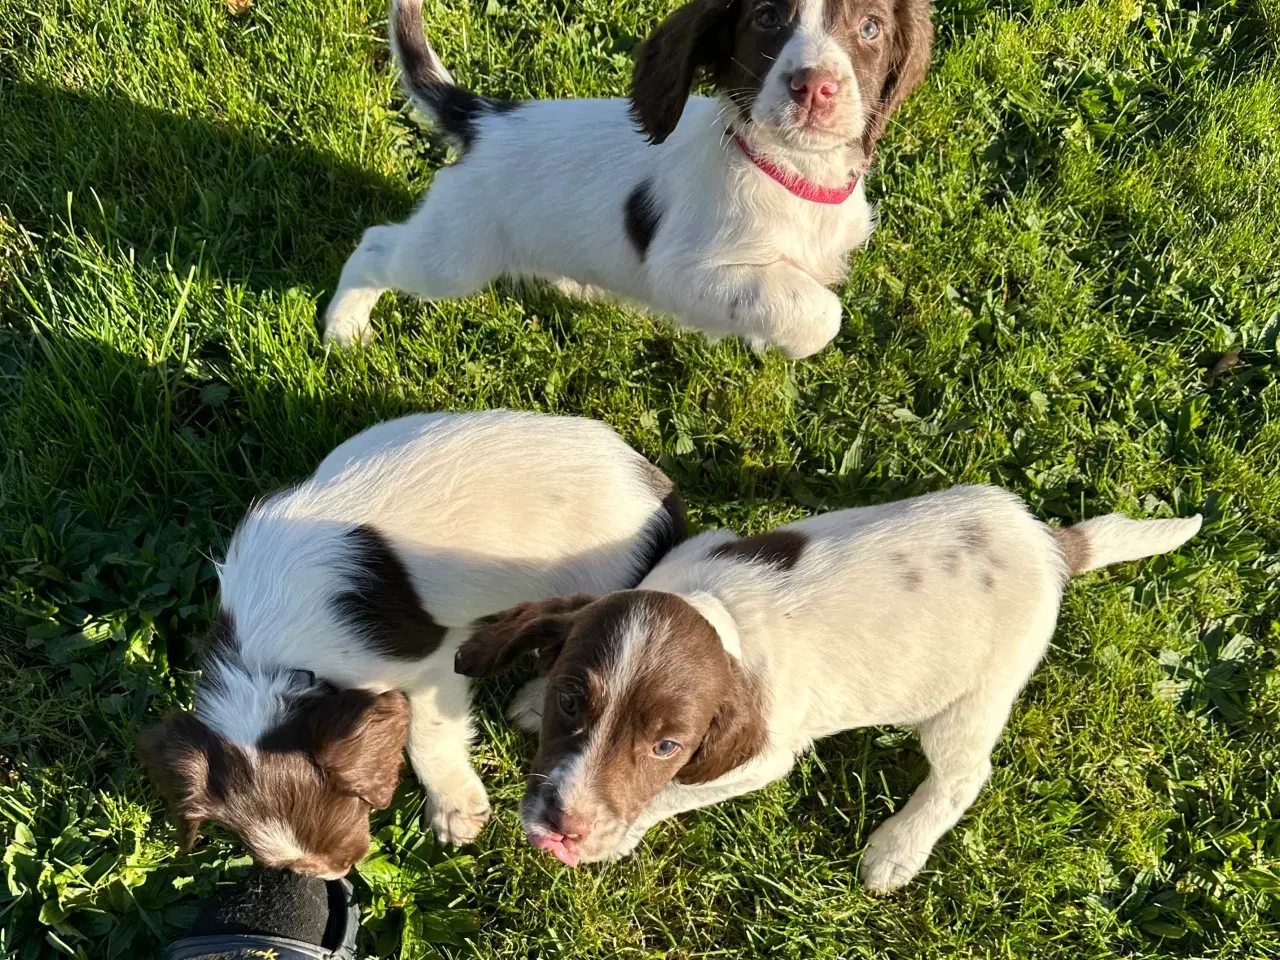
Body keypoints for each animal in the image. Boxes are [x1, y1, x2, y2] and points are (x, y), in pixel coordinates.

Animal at [135, 412, 686, 880]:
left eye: (349, 796)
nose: (333, 871)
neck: (268, 654)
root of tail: (658, 489)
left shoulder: (433, 659)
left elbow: (430, 733)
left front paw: (454, 810)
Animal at [453, 488, 1198, 896]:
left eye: (666, 745)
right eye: (572, 701)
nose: (563, 827)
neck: (718, 611)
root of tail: (1051, 547)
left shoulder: (761, 757)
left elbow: (667, 794)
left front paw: (613, 837)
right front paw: (532, 691)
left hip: (975, 696)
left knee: (963, 776)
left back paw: (898, 849)